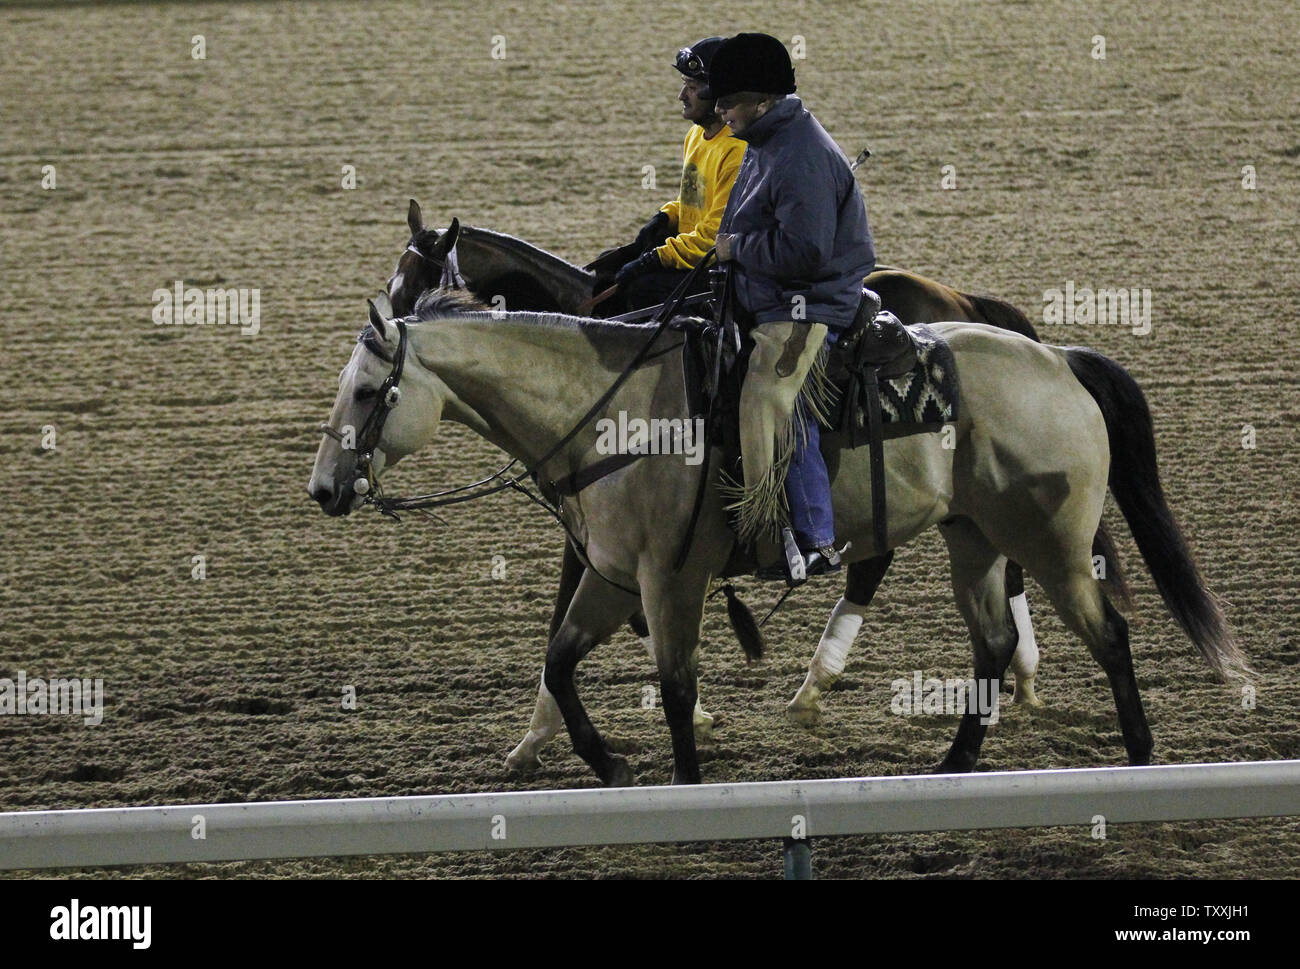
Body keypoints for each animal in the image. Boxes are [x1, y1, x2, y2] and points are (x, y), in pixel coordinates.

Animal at [306, 288, 1248, 785]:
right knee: (989, 642)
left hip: (1050, 543)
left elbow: (675, 689)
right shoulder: (610, 579)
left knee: (1110, 634)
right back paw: (951, 766)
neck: (618, 414)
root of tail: (1061, 361)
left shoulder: (669, 581)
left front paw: (683, 786)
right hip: (973, 538)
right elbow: (561, 663)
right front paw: (607, 767)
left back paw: (1139, 759)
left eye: (367, 392)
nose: (322, 488)